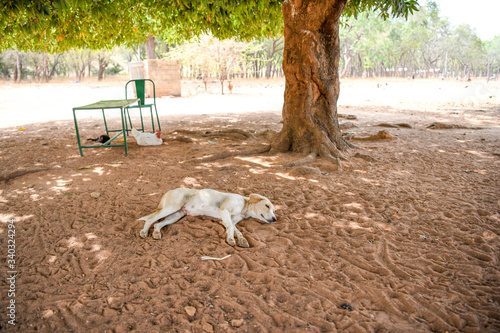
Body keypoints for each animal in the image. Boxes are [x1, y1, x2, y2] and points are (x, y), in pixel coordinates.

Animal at [138, 187, 278, 246]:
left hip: (176, 215)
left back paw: (156, 233)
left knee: (157, 223)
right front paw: (231, 239)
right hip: (173, 206)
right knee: (150, 219)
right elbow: (231, 228)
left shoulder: (230, 220)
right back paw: (144, 232)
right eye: (267, 206)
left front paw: (242, 240)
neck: (244, 205)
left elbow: (236, 230)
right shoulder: (224, 211)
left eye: (273, 210)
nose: (275, 219)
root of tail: (169, 191)